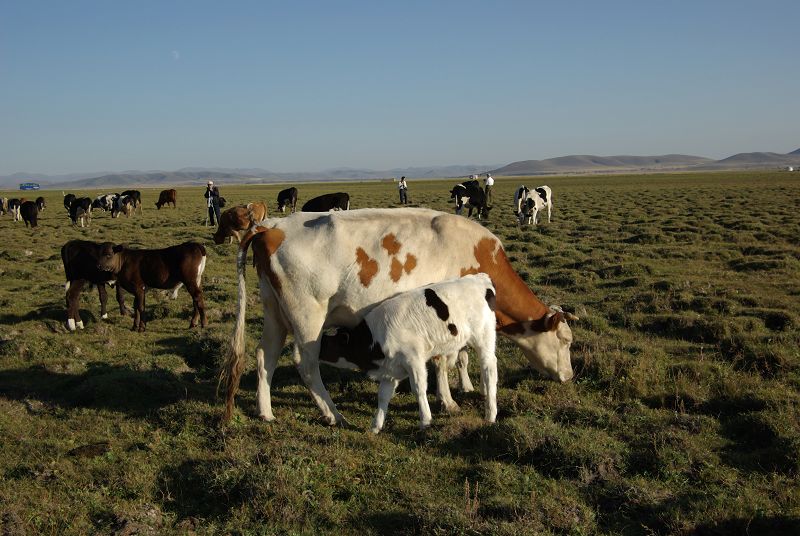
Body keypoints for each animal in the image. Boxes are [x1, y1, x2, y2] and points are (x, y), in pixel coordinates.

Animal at [320, 274, 496, 434]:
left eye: (326, 343)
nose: (316, 353)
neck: (376, 337)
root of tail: (480, 278)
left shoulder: (414, 359)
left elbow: (418, 388)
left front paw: (425, 421)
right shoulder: (390, 370)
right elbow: (383, 396)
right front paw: (375, 426)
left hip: (483, 338)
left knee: (489, 369)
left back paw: (491, 414)